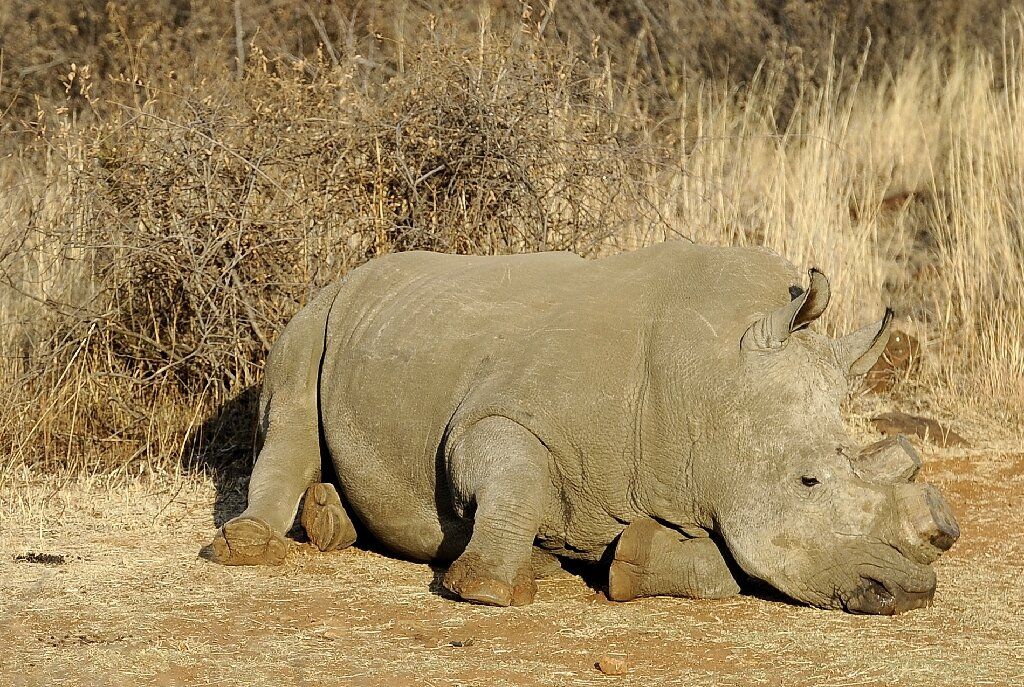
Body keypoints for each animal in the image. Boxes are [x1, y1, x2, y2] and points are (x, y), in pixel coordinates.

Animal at [202, 242, 959, 614]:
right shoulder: (496, 416)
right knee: (290, 415)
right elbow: (505, 468)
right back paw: (245, 548)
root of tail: (350, 273)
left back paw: (330, 524)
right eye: (809, 480)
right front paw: (487, 589)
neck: (709, 385)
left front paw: (629, 564)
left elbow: (723, 564)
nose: (912, 592)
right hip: (316, 315)